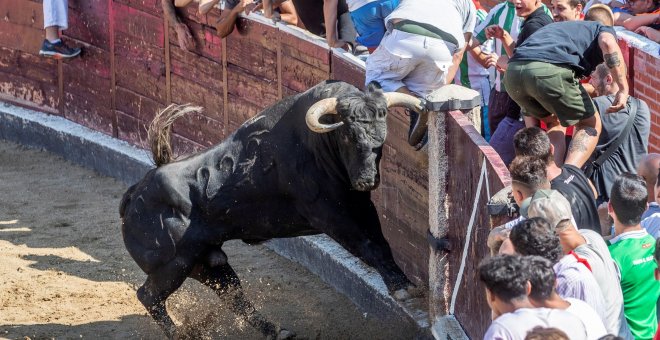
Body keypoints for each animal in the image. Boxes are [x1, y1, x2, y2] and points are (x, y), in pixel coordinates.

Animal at [120, 81, 422, 338]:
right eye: (348, 136)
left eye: (381, 140)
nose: (366, 180)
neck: (317, 144)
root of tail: (134, 195)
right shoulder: (330, 215)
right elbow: (367, 246)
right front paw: (401, 288)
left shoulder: (359, 205)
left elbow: (380, 242)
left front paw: (404, 283)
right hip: (174, 264)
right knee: (148, 296)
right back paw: (181, 334)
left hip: (205, 261)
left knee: (233, 295)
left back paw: (276, 331)